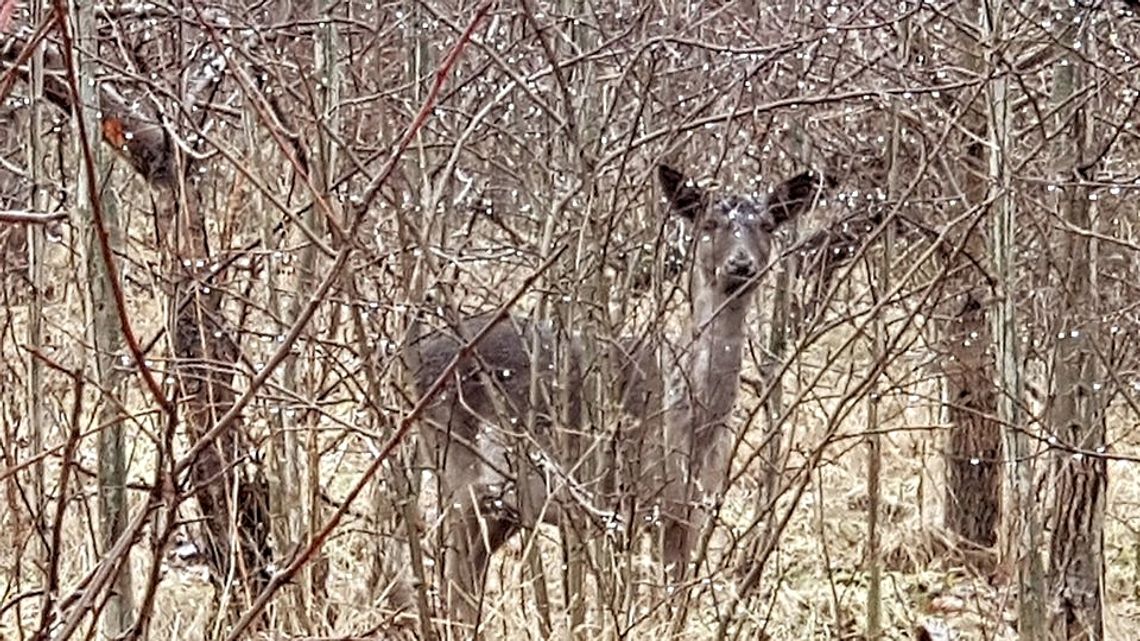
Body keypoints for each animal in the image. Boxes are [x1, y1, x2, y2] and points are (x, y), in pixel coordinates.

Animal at [405, 159, 834, 629]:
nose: (741, 264)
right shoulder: (618, 502)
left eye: (767, 225)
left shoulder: (688, 512)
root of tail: (409, 359)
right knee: (454, 580)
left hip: (500, 504)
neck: (691, 426)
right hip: (458, 472)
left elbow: (676, 605)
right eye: (709, 223)